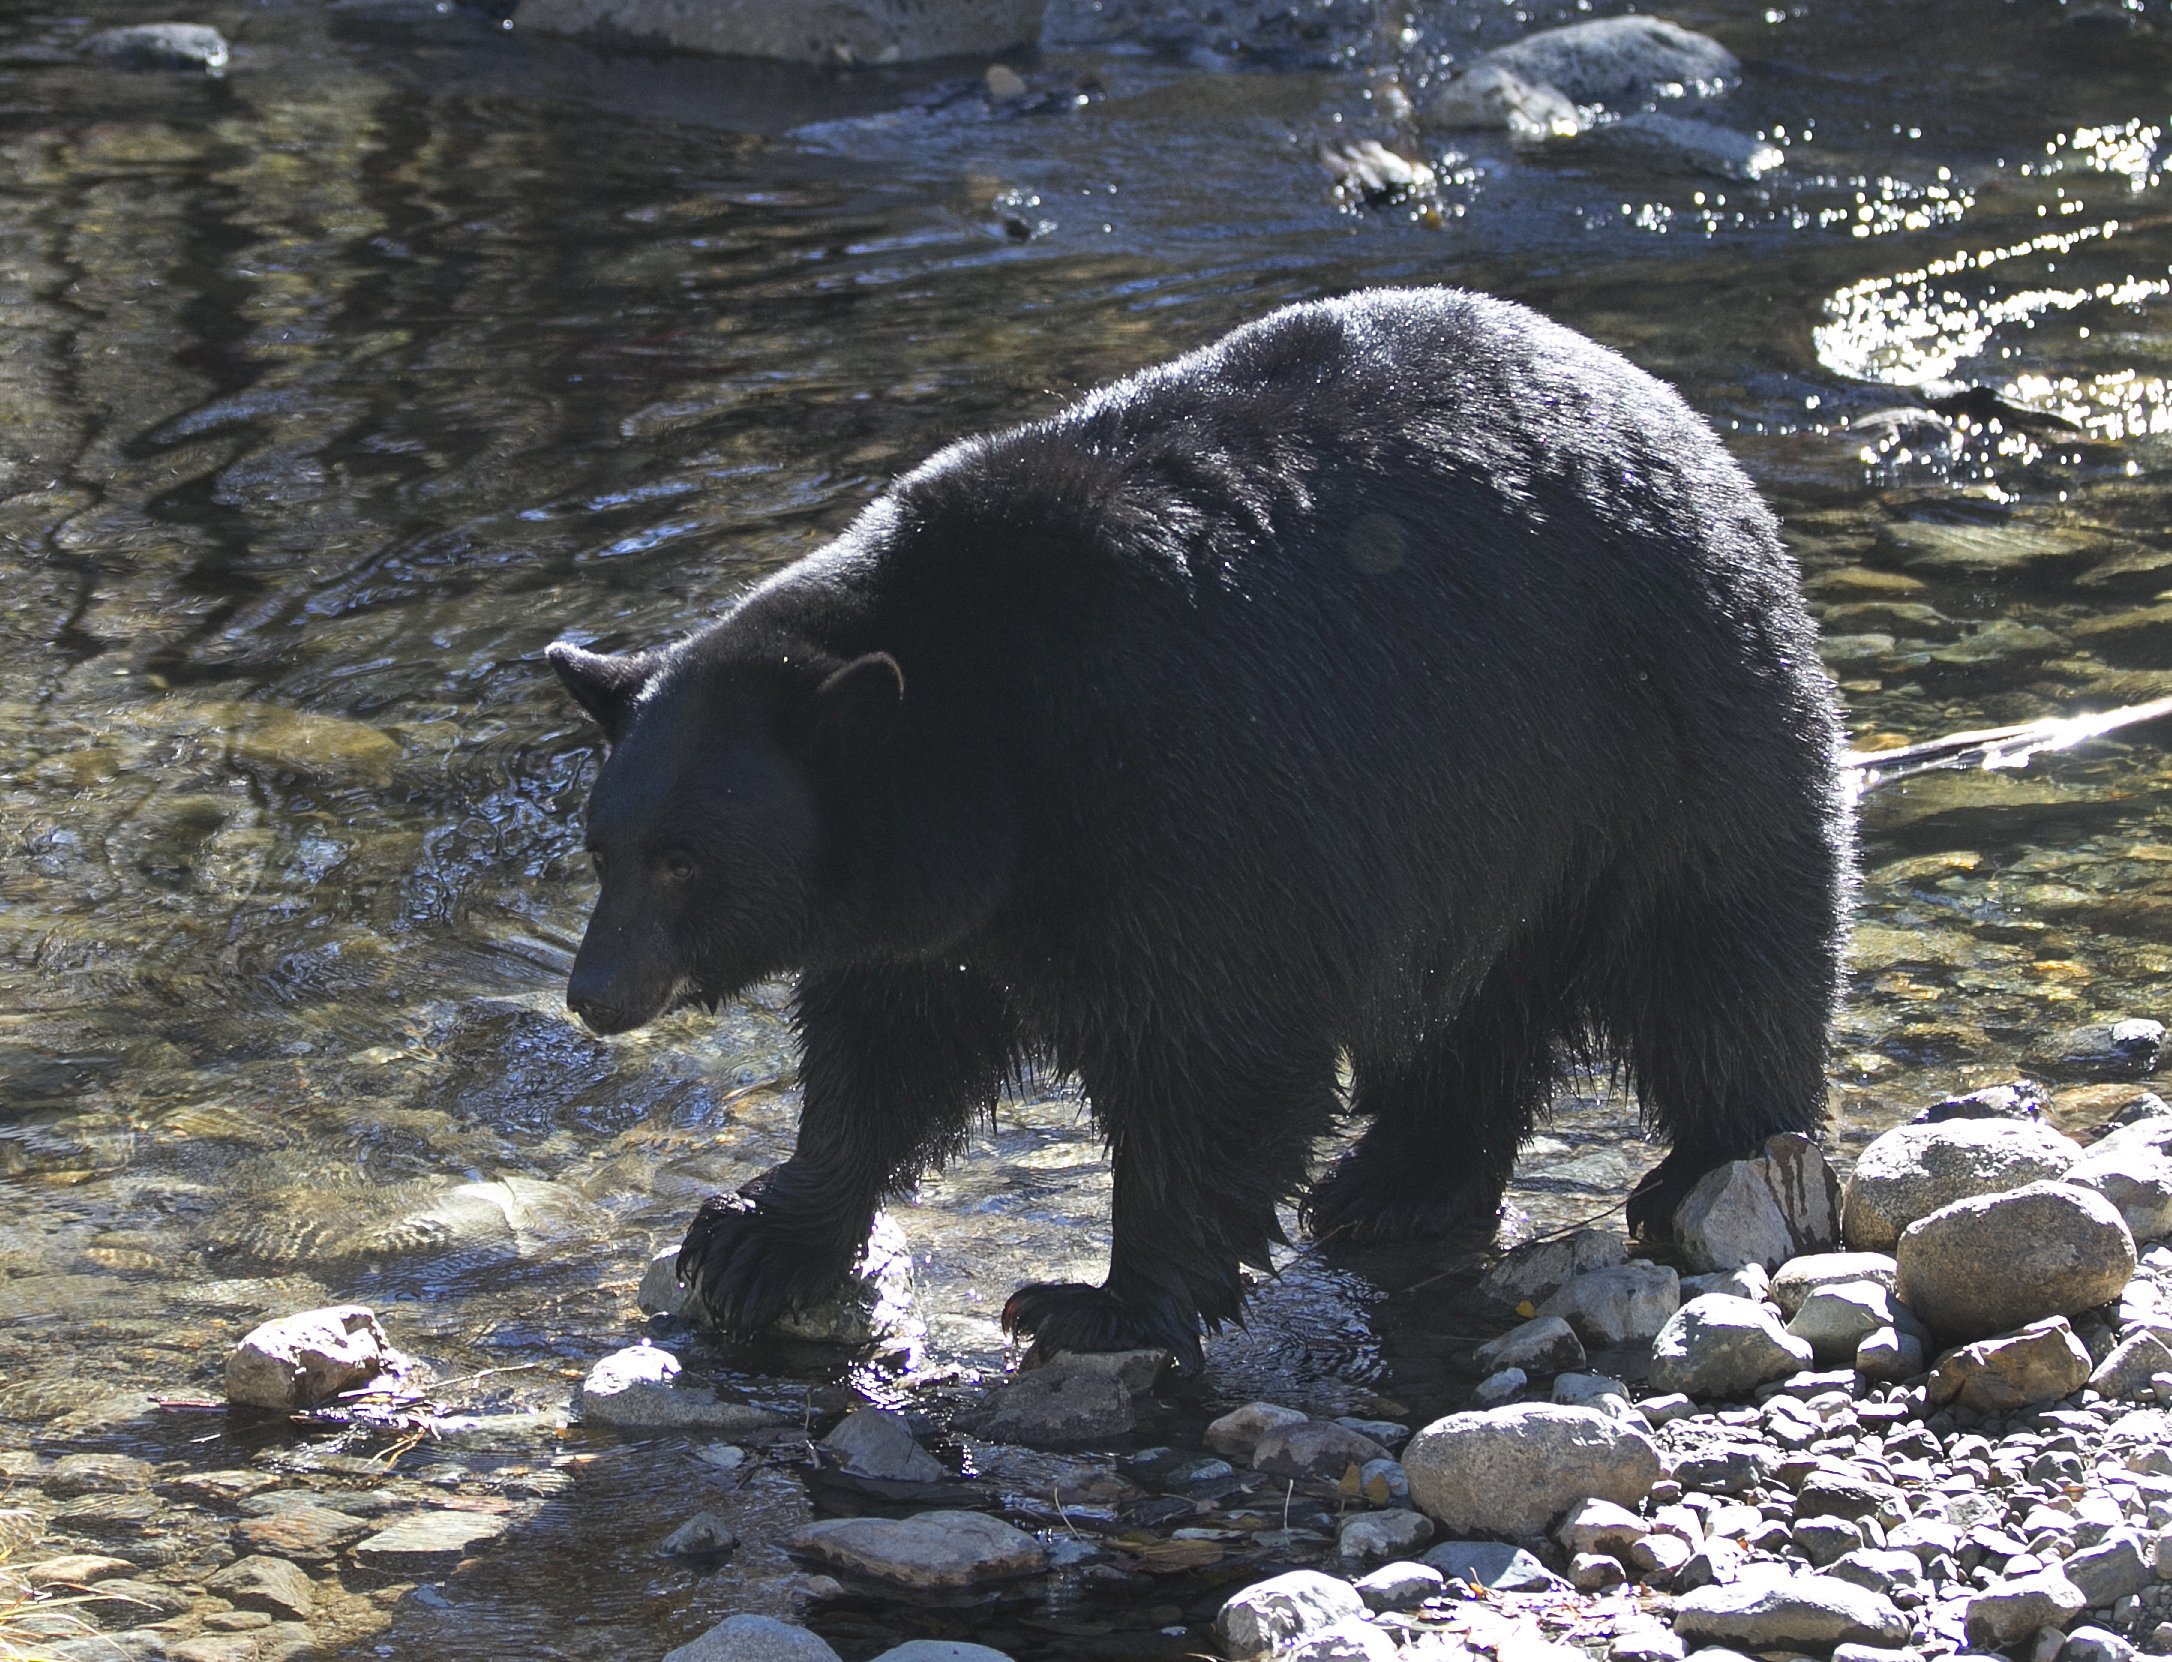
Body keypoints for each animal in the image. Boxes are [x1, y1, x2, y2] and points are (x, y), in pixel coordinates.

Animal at [543, 288, 1850, 1364]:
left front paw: (1102, 1302)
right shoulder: (931, 907)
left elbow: (1216, 1054)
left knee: (1718, 957)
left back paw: (1709, 1168)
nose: (594, 995)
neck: (992, 735)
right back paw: (1398, 1180)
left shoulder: (1188, 789)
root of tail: (1677, 419)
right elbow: (885, 1047)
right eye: (603, 850)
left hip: (1665, 731)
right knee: (1479, 1006)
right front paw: (761, 1236)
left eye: (685, 859)